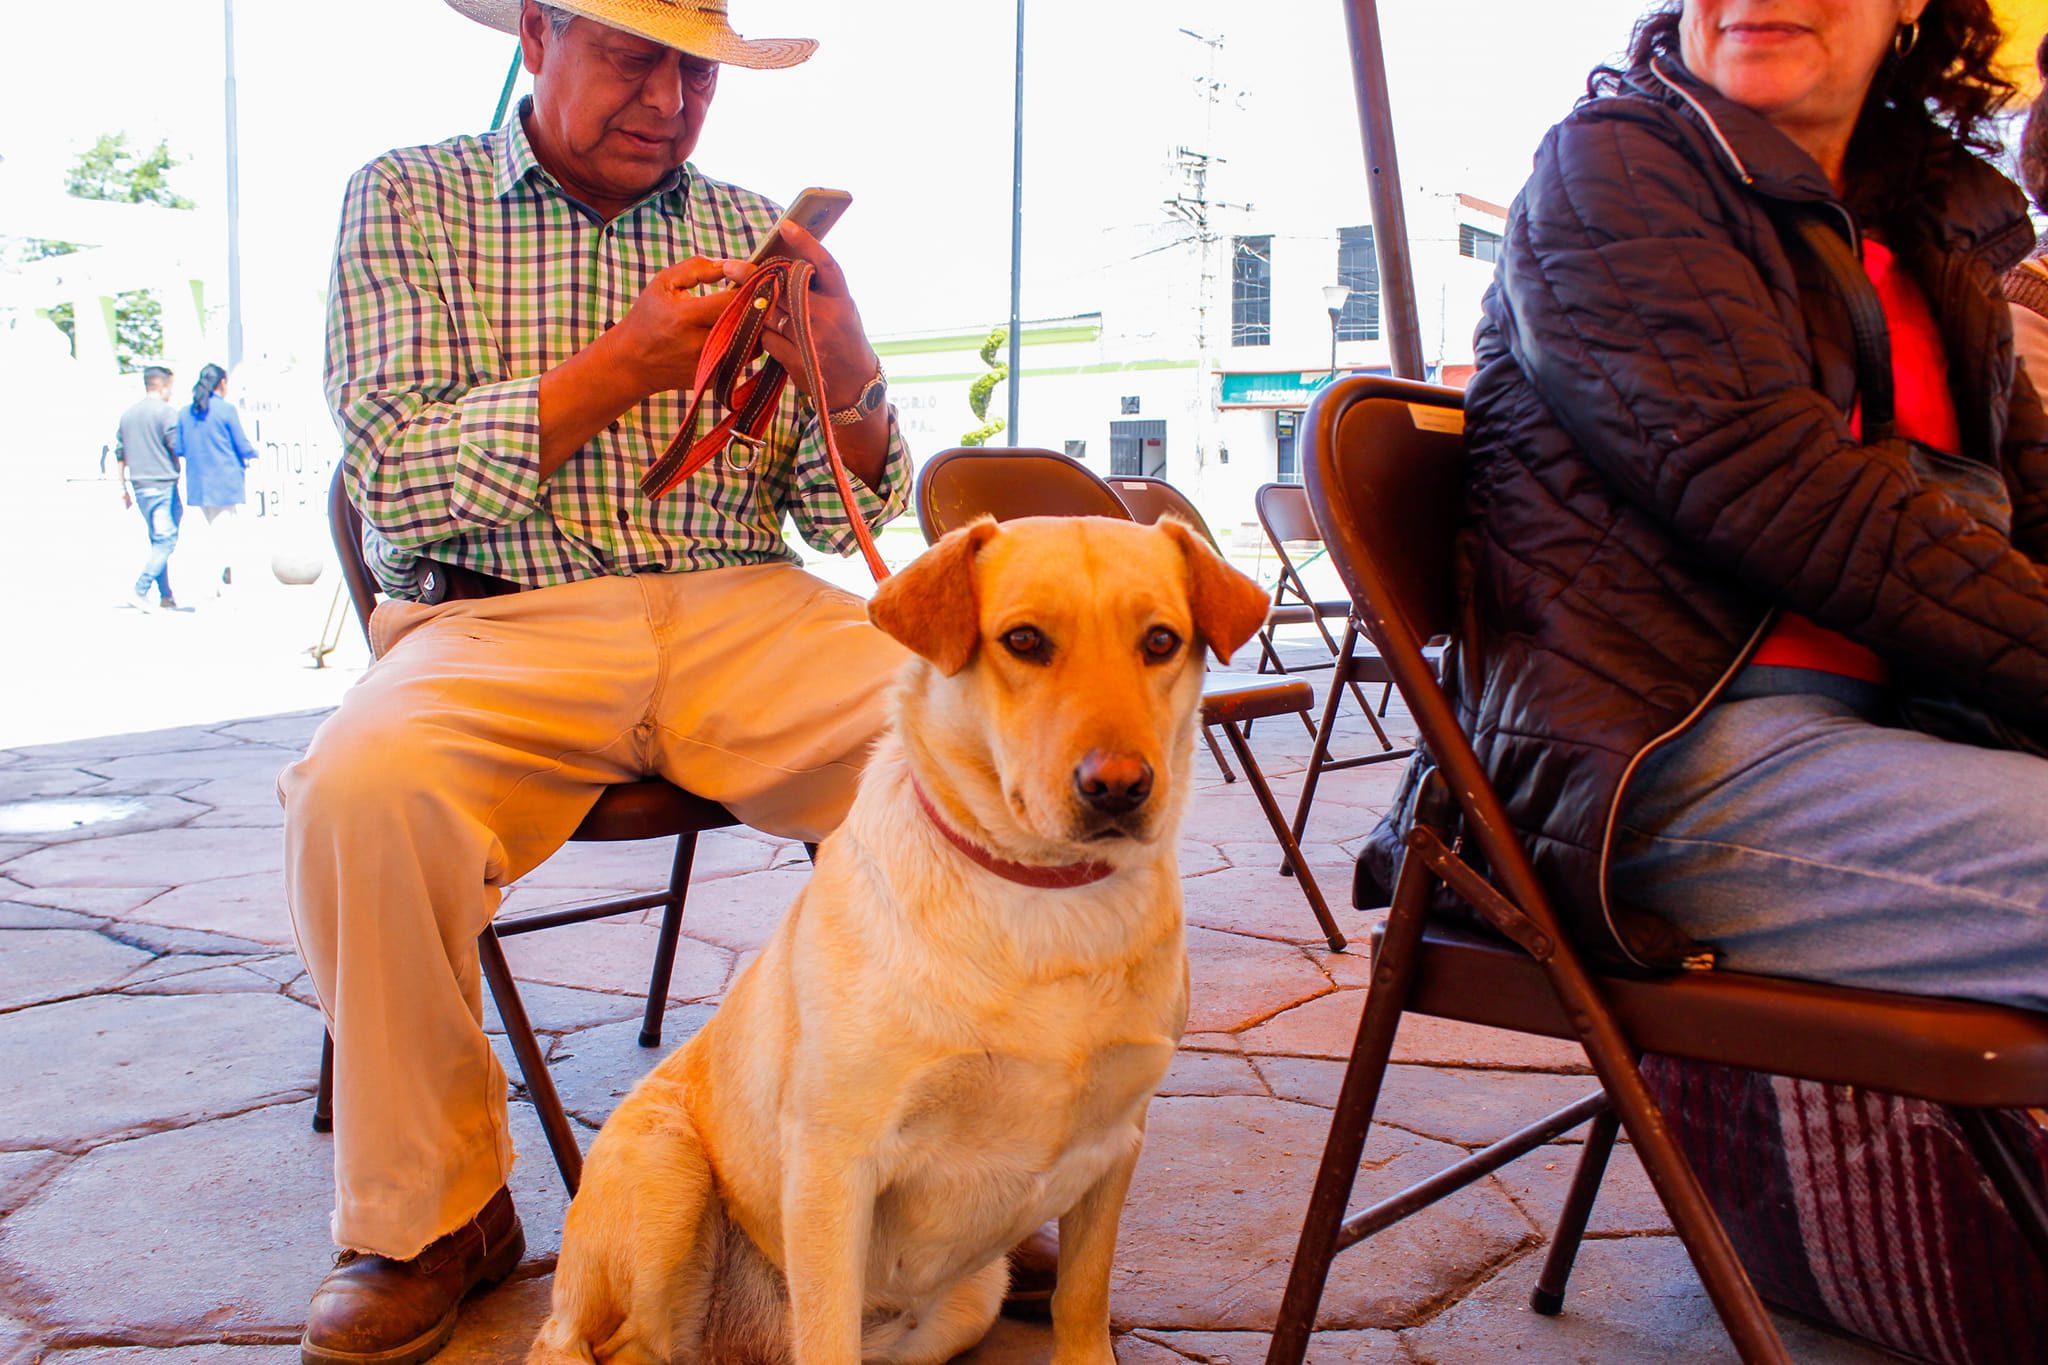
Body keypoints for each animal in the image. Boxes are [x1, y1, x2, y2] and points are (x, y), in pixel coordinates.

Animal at [528, 515, 1269, 1365]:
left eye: (1160, 640)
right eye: (1023, 640)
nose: (1117, 786)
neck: (1044, 896)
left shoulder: (1116, 1145)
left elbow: (1083, 1299)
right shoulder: (833, 1164)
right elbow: (828, 1334)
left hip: (970, 1299)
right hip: (665, 1180)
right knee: (598, 1344)